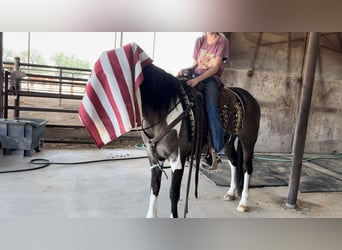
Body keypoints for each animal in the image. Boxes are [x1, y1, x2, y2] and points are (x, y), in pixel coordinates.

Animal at [139, 63, 260, 218]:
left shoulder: (177, 159)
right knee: (233, 162)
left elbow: (173, 193)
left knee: (246, 167)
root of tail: (250, 97)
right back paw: (231, 193)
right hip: (228, 141)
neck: (164, 112)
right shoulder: (154, 159)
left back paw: (243, 203)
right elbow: (154, 187)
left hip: (248, 140)